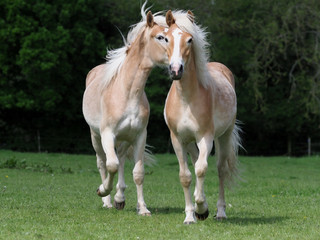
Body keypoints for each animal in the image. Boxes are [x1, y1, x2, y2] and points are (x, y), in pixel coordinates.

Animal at [81, 5, 169, 216]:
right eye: (161, 37)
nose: (178, 62)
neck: (127, 93)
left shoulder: (139, 136)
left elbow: (138, 173)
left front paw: (143, 208)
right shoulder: (107, 134)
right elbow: (110, 165)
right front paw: (103, 190)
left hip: (124, 138)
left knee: (120, 158)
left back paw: (120, 199)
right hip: (96, 137)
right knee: (103, 162)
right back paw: (107, 200)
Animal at [164, 10, 241, 224]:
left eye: (189, 40)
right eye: (165, 38)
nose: (176, 70)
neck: (186, 100)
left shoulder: (205, 137)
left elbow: (201, 169)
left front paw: (201, 209)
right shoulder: (177, 140)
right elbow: (186, 175)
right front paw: (190, 216)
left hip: (224, 136)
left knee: (220, 169)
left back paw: (220, 212)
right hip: (190, 142)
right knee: (197, 161)